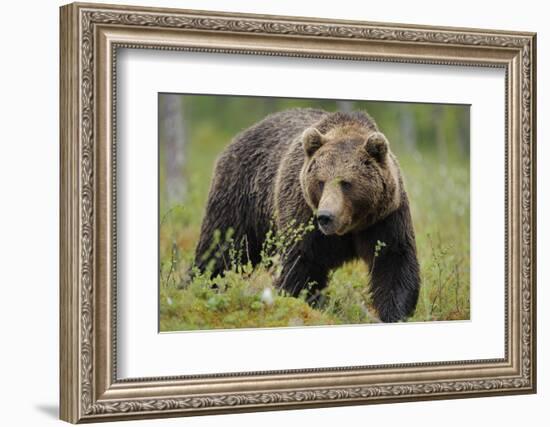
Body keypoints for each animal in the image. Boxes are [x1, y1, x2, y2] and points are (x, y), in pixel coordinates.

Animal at [194, 108, 422, 322]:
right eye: (321, 182)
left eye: (346, 183)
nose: (325, 216)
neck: (350, 227)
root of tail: (240, 134)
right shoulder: (303, 215)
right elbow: (301, 265)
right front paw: (309, 304)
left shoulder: (385, 218)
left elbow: (393, 261)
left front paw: (393, 313)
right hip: (241, 198)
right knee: (220, 250)